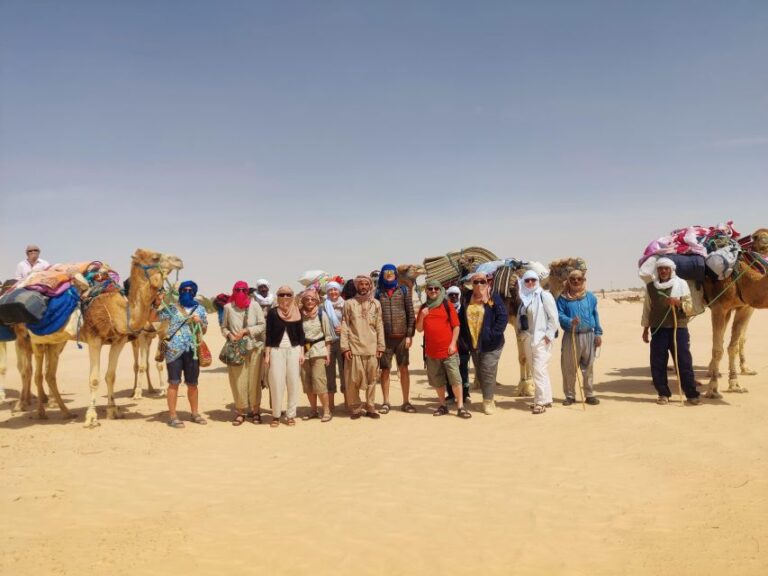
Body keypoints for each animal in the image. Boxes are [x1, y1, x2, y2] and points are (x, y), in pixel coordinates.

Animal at [80, 248, 183, 428]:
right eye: (155, 257)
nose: (179, 260)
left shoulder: (156, 334)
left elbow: (153, 365)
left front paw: (160, 390)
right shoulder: (136, 336)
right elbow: (139, 366)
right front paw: (137, 393)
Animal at [704, 228, 768, 396]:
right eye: (756, 236)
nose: (765, 241)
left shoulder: (744, 307)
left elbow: (733, 345)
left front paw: (734, 383)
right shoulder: (719, 307)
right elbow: (717, 349)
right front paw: (712, 388)